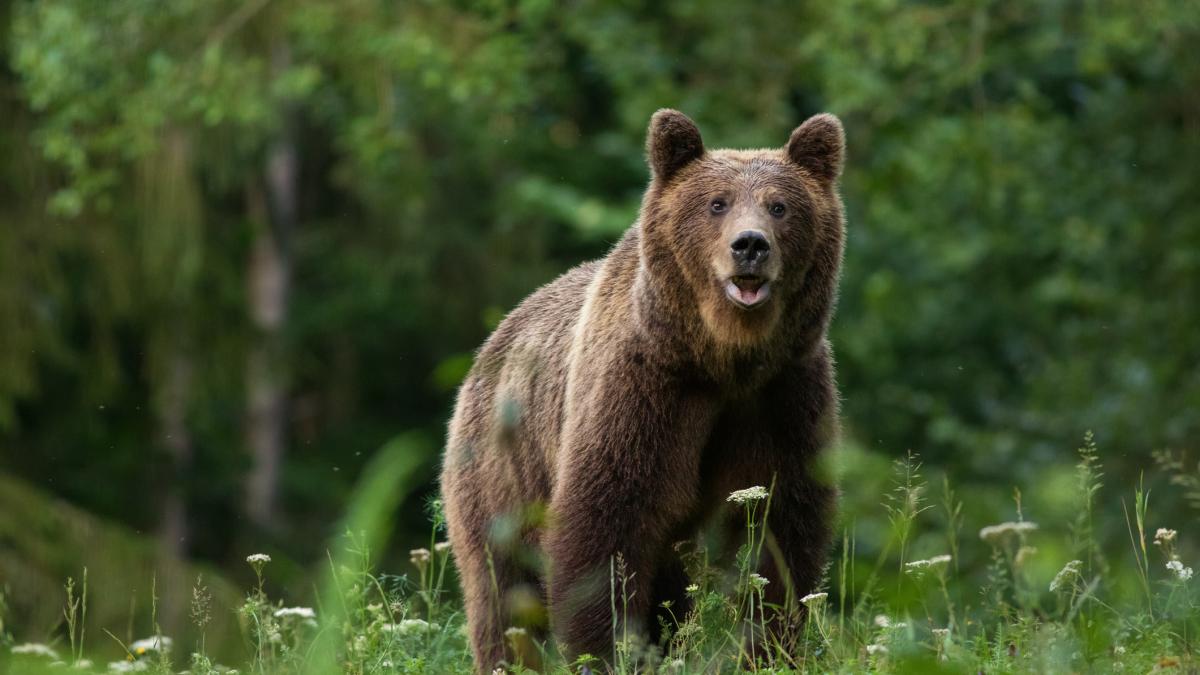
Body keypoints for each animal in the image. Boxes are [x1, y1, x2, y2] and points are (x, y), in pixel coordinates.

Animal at [441, 107, 844, 667]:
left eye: (780, 206)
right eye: (716, 203)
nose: (750, 245)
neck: (723, 358)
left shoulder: (782, 394)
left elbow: (780, 528)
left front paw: (769, 648)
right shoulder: (644, 389)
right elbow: (607, 524)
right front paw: (607, 650)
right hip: (501, 471)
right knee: (503, 589)